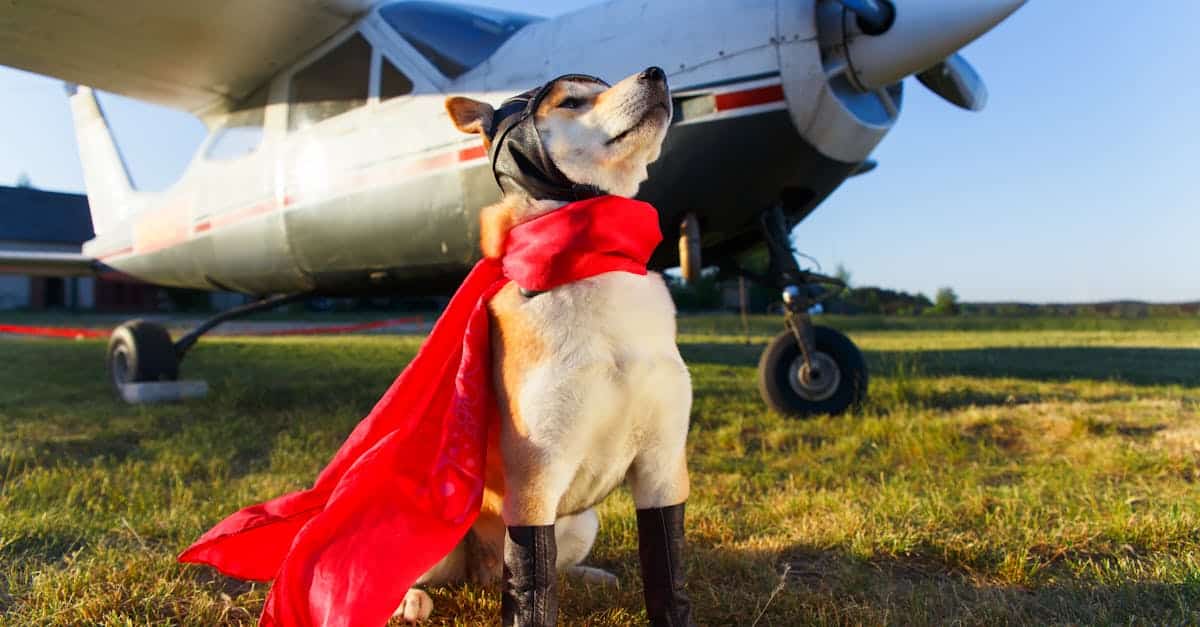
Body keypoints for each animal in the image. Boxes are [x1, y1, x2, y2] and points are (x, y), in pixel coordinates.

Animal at [393, 65, 696, 619]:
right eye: (573, 101)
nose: (657, 73)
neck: (594, 258)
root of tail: (479, 570)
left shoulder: (663, 464)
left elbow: (669, 570)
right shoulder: (535, 476)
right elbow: (534, 588)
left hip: (581, 520)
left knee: (542, 567)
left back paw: (590, 575)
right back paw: (410, 600)